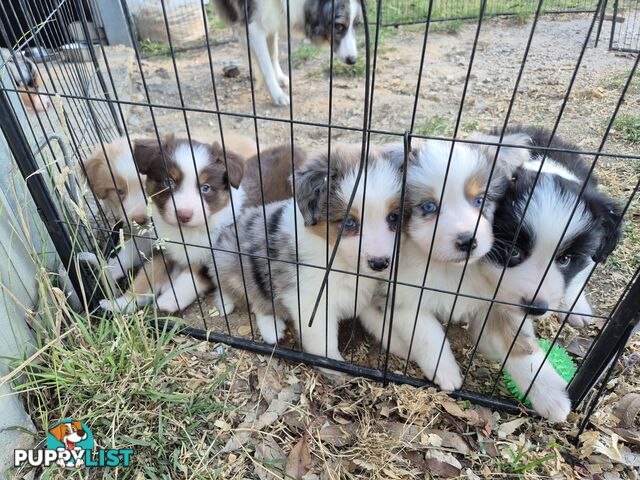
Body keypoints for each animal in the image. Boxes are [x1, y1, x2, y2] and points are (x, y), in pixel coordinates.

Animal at [215, 0, 362, 105]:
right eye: (339, 26)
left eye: (357, 24)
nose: (353, 60)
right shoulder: (253, 27)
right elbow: (266, 67)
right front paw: (277, 95)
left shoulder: (271, 21)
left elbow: (273, 54)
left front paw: (279, 78)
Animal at [215, 144, 404, 362]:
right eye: (349, 222)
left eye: (394, 217)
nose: (380, 263)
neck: (340, 262)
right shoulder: (310, 302)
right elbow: (324, 345)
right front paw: (334, 364)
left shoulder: (363, 298)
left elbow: (382, 325)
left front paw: (401, 347)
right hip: (235, 264)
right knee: (250, 297)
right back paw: (268, 328)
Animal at [358, 138, 528, 390]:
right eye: (429, 207)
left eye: (480, 200)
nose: (468, 241)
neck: (447, 269)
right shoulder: (403, 296)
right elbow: (428, 336)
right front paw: (447, 375)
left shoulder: (495, 299)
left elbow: (521, 346)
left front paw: (553, 395)